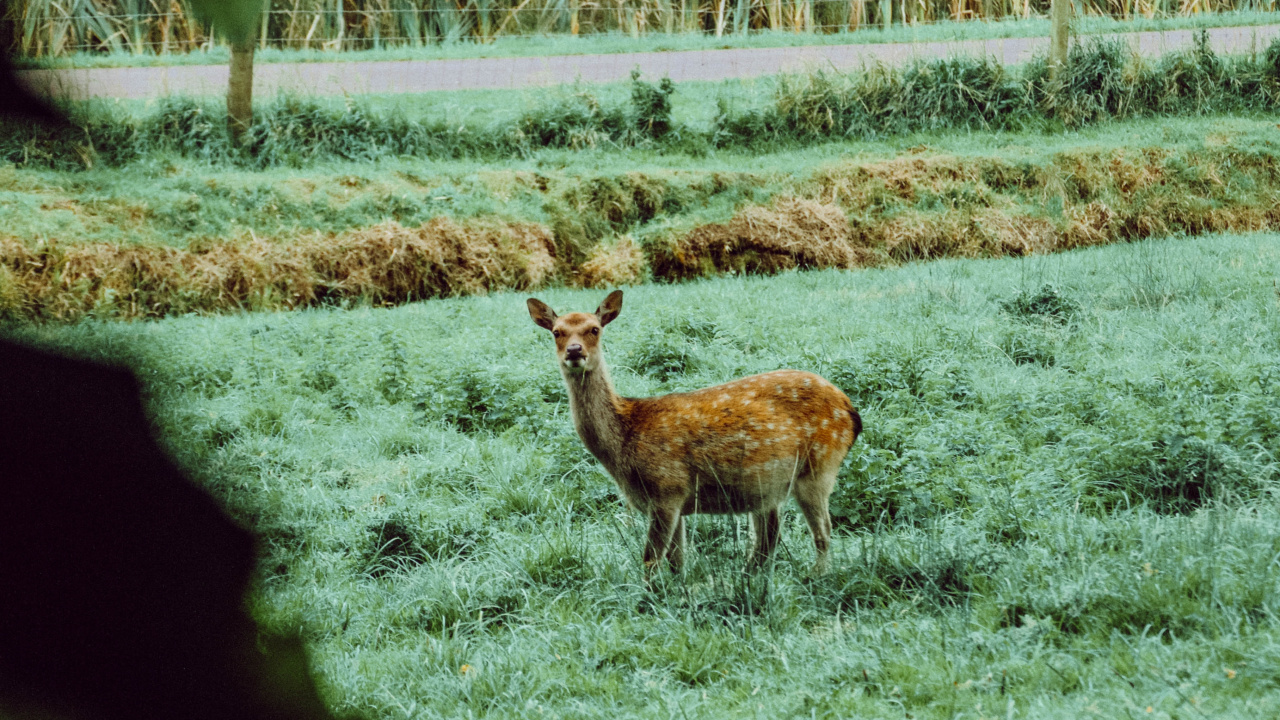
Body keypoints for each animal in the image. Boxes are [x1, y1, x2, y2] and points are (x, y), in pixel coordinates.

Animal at [527, 290, 861, 583]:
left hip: (819, 466)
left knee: (823, 531)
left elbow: (650, 559)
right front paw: (679, 592)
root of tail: (851, 411)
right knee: (769, 538)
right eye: (557, 332)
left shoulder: (668, 488)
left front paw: (649, 598)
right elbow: (677, 560)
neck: (625, 441)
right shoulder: (676, 501)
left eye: (594, 329)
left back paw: (816, 577)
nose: (574, 351)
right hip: (769, 487)